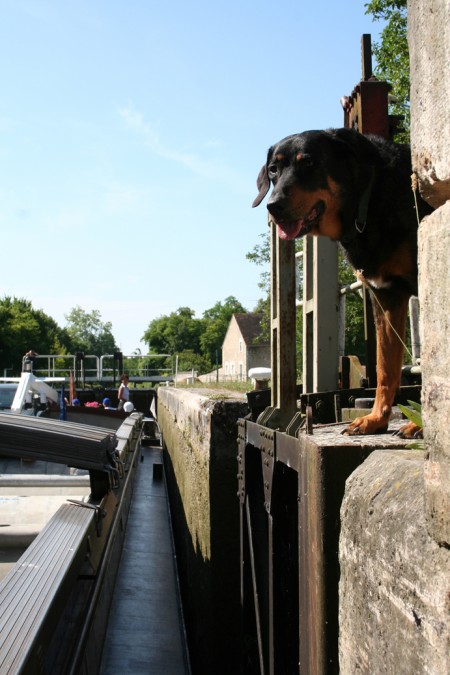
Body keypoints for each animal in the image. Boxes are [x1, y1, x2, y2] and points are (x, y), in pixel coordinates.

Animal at [253, 129, 432, 436]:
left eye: (309, 163)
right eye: (274, 169)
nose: (273, 206)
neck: (370, 203)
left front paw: (418, 424)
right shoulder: (385, 296)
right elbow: (385, 367)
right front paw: (376, 419)